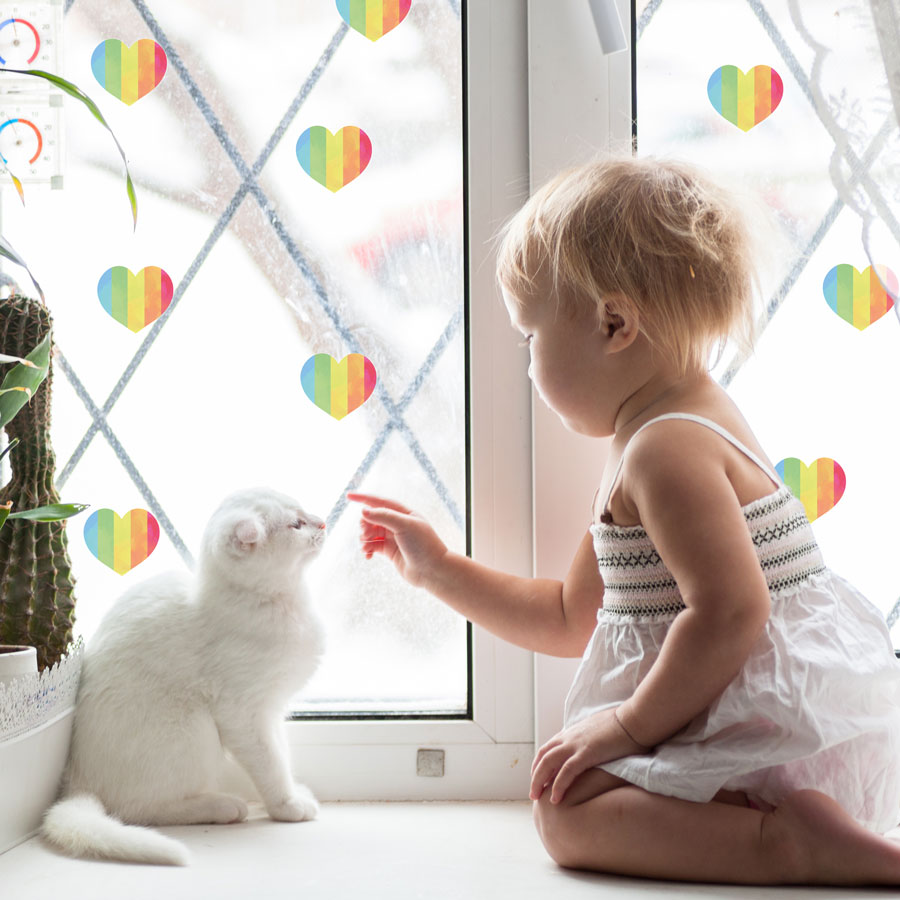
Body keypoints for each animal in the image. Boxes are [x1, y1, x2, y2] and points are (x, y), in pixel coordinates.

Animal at [42, 488, 328, 868]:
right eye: (296, 524)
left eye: (304, 512)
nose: (321, 522)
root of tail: (76, 782)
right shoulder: (245, 713)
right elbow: (271, 764)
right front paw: (287, 805)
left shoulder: (274, 710)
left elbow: (281, 755)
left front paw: (293, 792)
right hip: (194, 726)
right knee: (141, 809)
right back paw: (221, 806)